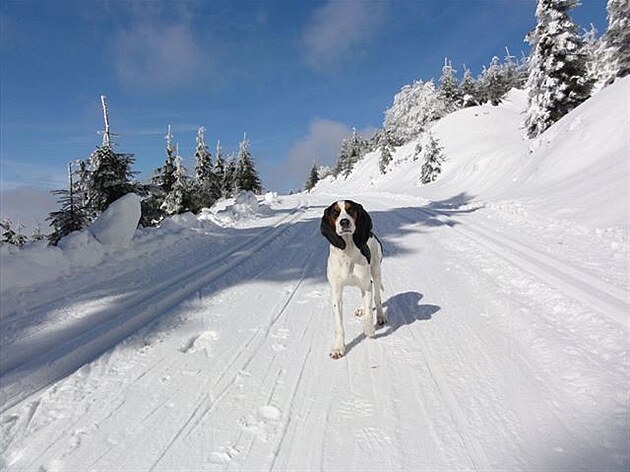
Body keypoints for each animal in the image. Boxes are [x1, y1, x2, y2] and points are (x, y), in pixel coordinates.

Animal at [320, 199, 386, 358]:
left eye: (351, 210)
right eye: (335, 213)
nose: (344, 222)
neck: (348, 251)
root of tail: (371, 233)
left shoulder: (366, 285)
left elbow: (369, 313)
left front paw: (369, 330)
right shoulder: (336, 292)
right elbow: (339, 325)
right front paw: (338, 348)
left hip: (376, 271)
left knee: (377, 298)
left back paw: (380, 317)